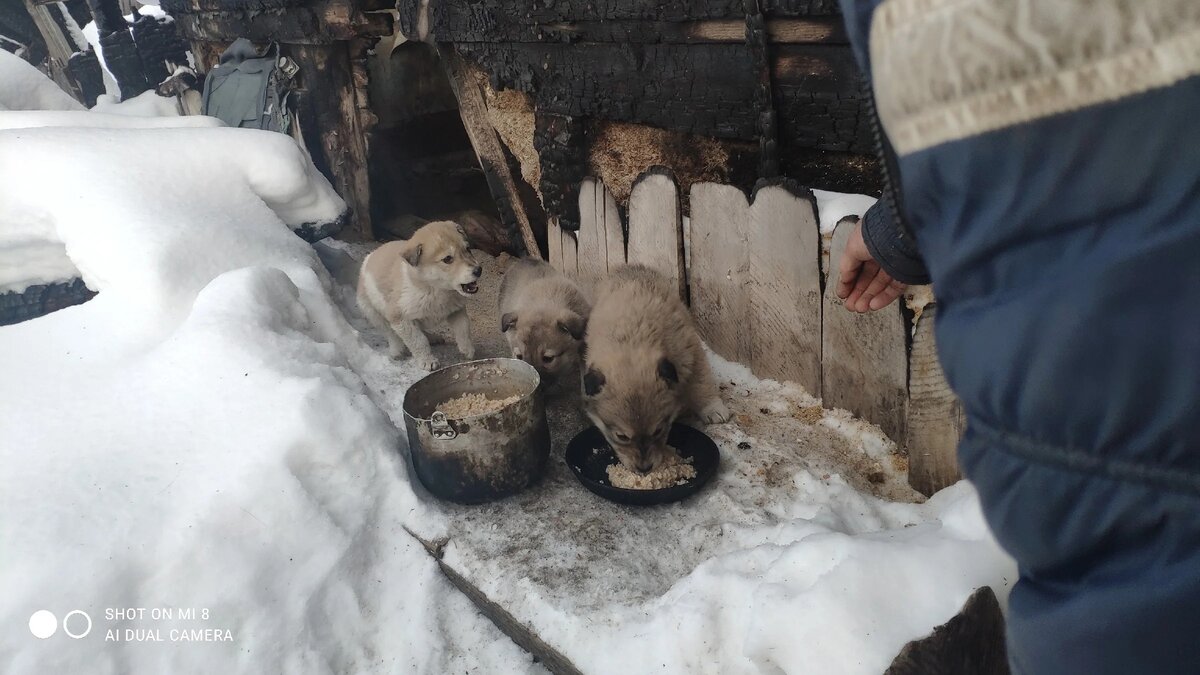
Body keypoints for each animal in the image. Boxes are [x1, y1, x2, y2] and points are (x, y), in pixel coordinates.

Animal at [355, 219, 482, 367]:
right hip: (372, 312)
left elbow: (464, 329)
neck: (435, 289)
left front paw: (467, 350)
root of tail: (371, 255)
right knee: (390, 333)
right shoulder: (400, 318)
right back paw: (397, 350)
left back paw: (433, 337)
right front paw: (427, 361)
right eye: (447, 259)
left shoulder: (457, 310)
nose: (479, 270)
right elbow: (418, 341)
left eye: (468, 249)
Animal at [580, 263, 729, 473]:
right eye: (622, 437)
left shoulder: (691, 351)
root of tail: (629, 267)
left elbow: (701, 382)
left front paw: (712, 408)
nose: (644, 469)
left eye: (658, 430)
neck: (631, 341)